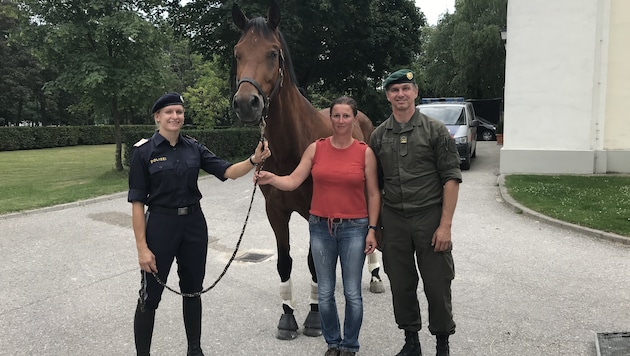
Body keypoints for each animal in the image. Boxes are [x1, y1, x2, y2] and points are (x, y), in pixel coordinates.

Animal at [231, 3, 382, 342]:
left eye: (273, 53)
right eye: (237, 52)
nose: (246, 103)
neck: (292, 146)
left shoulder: (316, 210)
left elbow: (315, 262)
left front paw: (314, 317)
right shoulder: (275, 211)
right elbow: (285, 262)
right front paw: (287, 317)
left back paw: (376, 275)